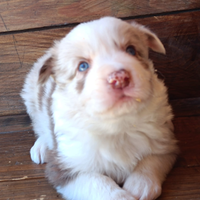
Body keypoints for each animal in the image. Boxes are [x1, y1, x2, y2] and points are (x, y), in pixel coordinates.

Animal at [21, 17, 179, 200]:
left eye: (131, 50)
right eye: (83, 66)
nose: (120, 78)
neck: (118, 124)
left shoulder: (164, 141)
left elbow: (153, 159)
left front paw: (140, 185)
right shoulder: (66, 167)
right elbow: (98, 183)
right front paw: (122, 196)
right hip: (31, 98)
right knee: (40, 126)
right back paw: (41, 147)